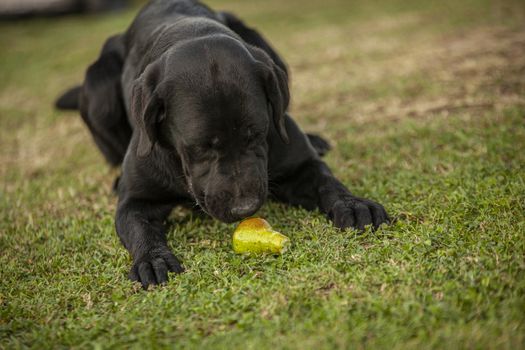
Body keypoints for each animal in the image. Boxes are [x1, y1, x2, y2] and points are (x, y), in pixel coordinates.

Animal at [56, 0, 388, 288]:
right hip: (98, 90)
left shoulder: (300, 165)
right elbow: (141, 230)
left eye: (256, 134)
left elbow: (327, 182)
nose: (245, 208)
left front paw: (353, 203)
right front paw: (152, 258)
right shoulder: (136, 201)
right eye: (200, 147)